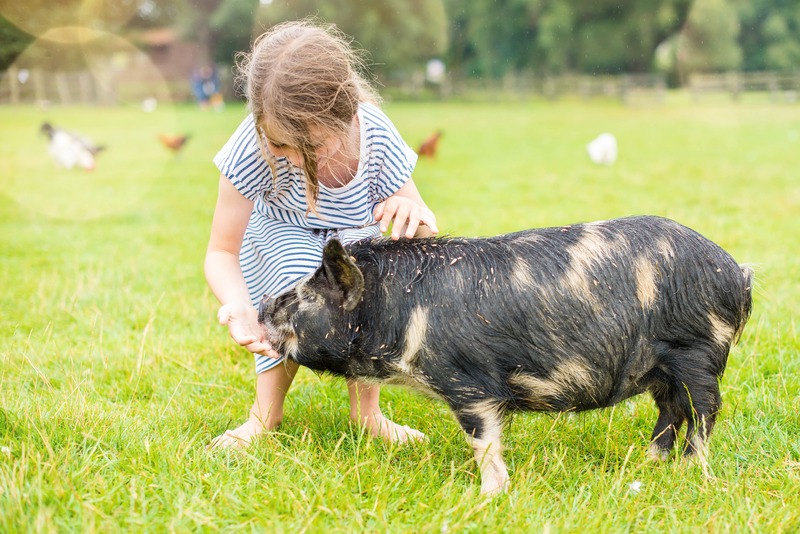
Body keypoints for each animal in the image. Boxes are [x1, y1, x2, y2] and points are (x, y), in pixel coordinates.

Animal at [260, 216, 752, 496]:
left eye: (303, 297)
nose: (263, 304)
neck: (394, 312)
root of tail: (736, 272)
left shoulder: (468, 382)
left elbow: (483, 440)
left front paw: (487, 496)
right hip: (662, 367)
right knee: (671, 410)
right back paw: (649, 464)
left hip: (696, 352)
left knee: (704, 410)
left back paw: (691, 471)